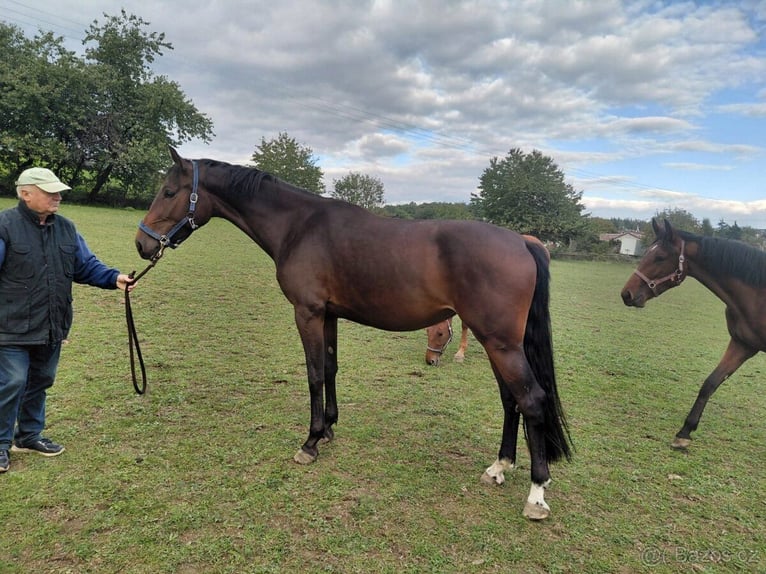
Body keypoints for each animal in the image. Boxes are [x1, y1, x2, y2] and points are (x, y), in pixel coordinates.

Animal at [135, 148, 572, 520]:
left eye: (169, 192)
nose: (141, 243)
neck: (299, 226)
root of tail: (522, 241)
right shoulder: (328, 316)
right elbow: (330, 368)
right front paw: (328, 428)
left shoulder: (307, 313)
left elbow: (313, 374)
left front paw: (310, 443)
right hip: (496, 342)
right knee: (510, 401)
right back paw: (498, 467)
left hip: (500, 343)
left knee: (531, 401)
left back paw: (536, 494)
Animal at [621, 218, 766, 449]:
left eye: (660, 257)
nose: (627, 294)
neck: (759, 296)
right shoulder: (743, 344)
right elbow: (710, 383)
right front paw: (684, 432)